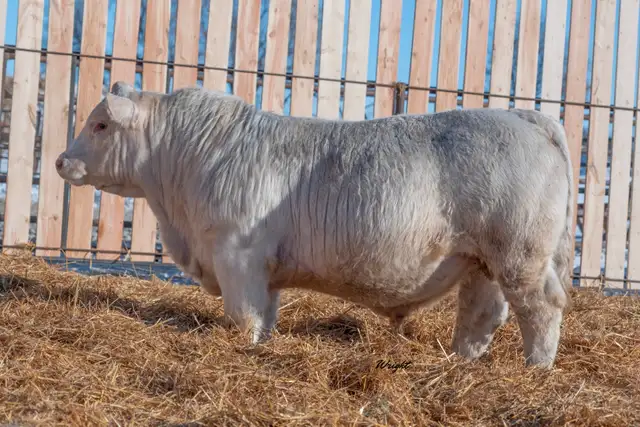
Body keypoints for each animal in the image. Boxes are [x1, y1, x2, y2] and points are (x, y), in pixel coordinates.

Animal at [56, 81, 574, 368]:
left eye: (101, 125)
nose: (62, 161)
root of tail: (525, 115)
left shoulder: (237, 254)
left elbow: (242, 315)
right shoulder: (263, 270)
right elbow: (264, 315)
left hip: (521, 254)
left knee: (541, 308)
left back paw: (535, 369)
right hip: (481, 260)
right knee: (480, 315)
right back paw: (461, 363)